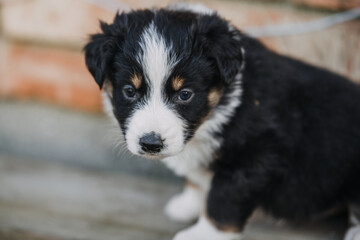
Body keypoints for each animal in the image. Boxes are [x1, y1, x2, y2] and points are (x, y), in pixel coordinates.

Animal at [83, 4, 360, 240]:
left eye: (185, 94)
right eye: (129, 91)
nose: (151, 144)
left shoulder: (256, 156)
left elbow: (224, 199)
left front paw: (204, 235)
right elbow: (198, 181)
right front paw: (188, 205)